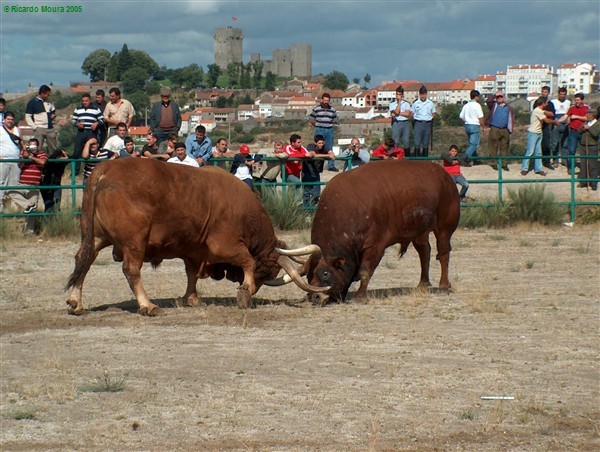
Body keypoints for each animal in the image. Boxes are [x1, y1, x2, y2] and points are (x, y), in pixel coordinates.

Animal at [67, 158, 326, 314]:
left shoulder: (193, 250)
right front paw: (245, 291)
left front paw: (191, 298)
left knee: (83, 261)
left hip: (96, 238)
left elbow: (191, 274)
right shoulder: (224, 245)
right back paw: (147, 305)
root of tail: (105, 169)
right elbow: (248, 261)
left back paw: (75, 302)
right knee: (131, 270)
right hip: (134, 242)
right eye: (267, 273)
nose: (256, 290)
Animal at [290, 159, 460, 304]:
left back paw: (443, 286)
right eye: (308, 275)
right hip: (420, 231)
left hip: (444, 228)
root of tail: (444, 175)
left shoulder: (375, 245)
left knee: (443, 253)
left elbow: (365, 270)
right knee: (424, 251)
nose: (315, 297)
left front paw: (360, 297)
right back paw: (423, 283)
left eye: (325, 273)